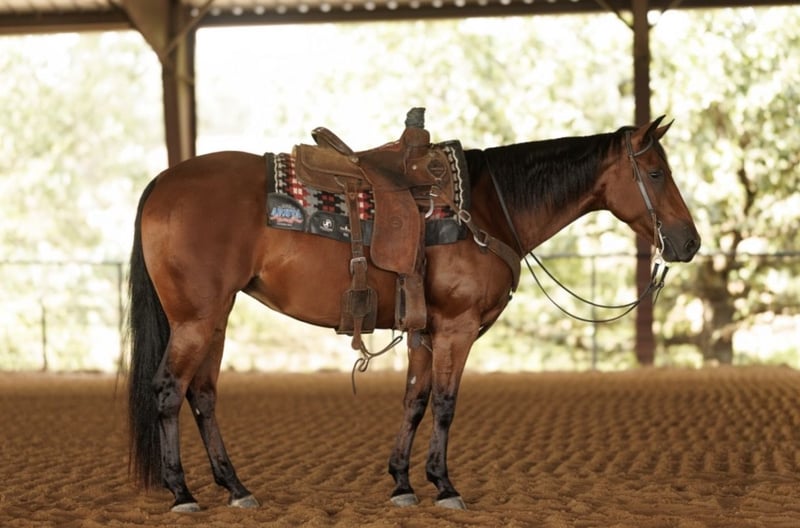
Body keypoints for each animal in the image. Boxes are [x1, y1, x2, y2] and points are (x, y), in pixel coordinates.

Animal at [127, 116, 700, 512]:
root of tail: (163, 183)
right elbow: (445, 403)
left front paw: (402, 482)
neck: (486, 208)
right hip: (195, 320)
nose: (689, 242)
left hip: (215, 319)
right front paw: (444, 486)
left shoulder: (426, 330)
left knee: (203, 396)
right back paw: (182, 493)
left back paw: (236, 488)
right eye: (656, 172)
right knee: (169, 391)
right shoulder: (457, 328)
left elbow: (415, 400)